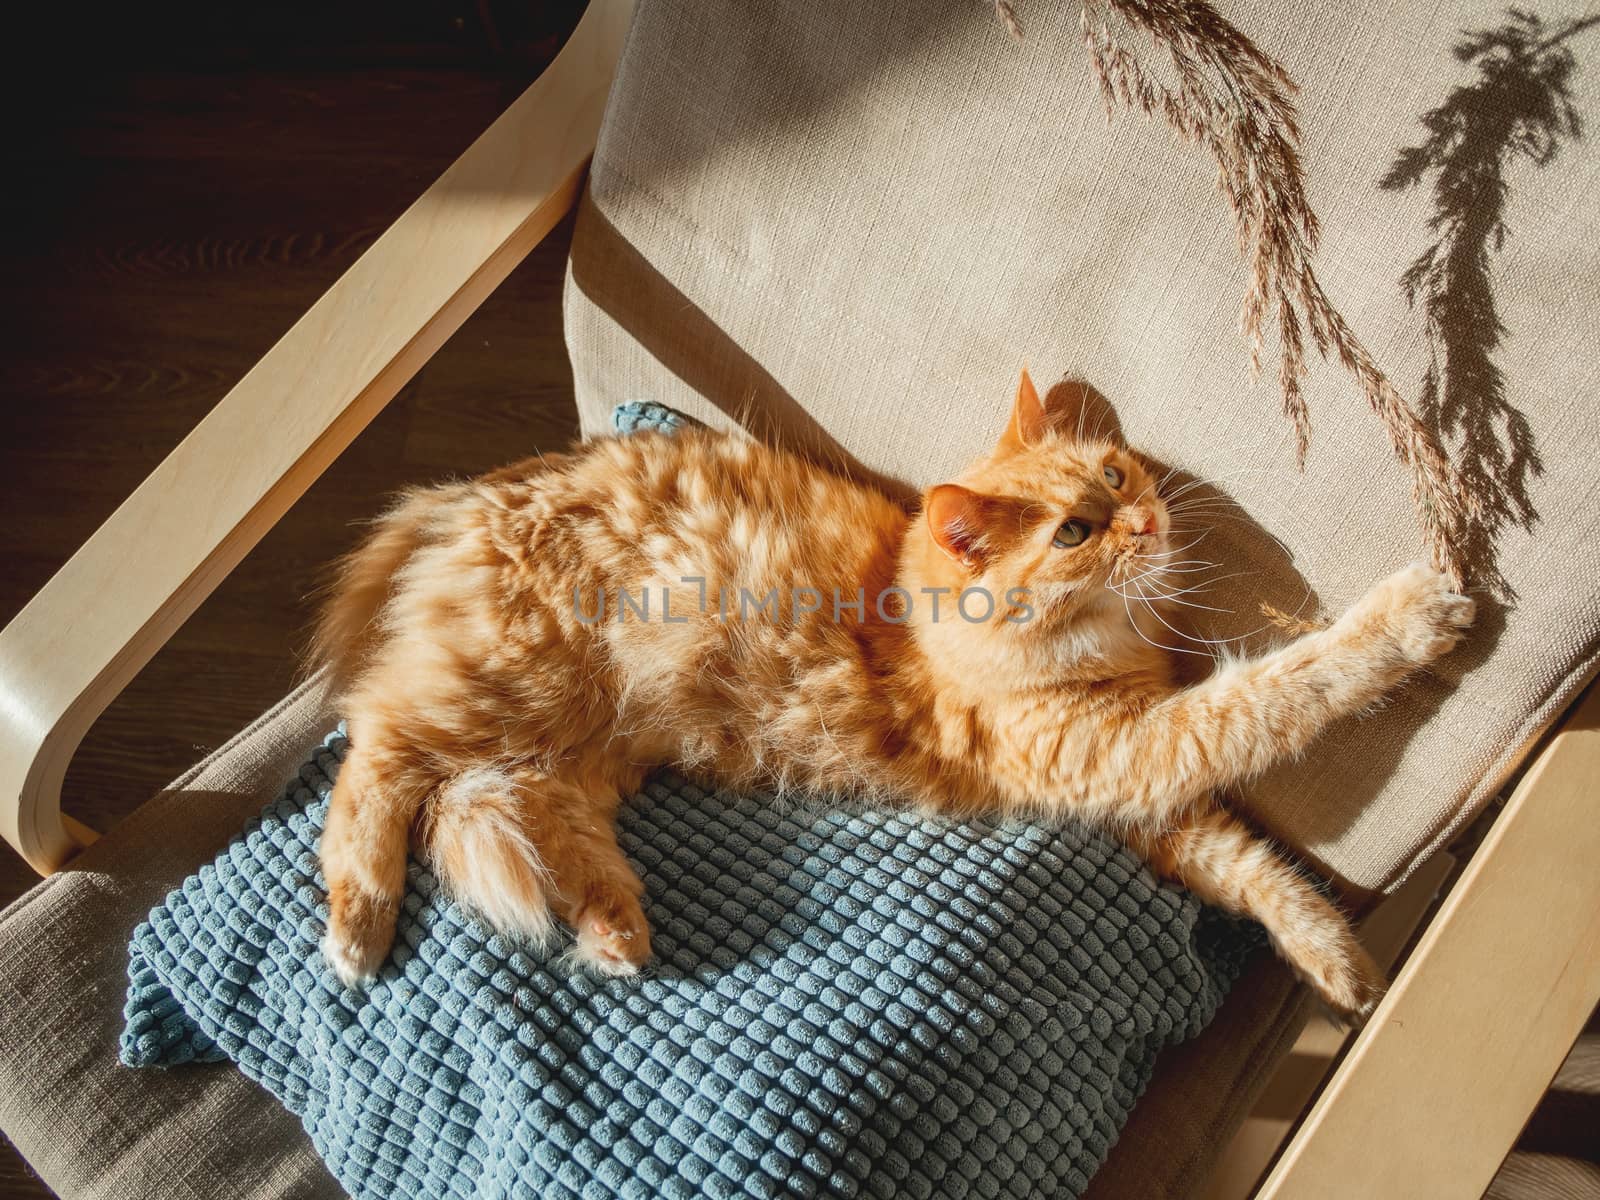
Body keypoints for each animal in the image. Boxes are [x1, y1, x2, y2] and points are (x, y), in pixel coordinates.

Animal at [312, 374, 1472, 1024]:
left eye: (1116, 476)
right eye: (1073, 534)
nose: (1147, 522)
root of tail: (464, 494)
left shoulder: (1141, 795)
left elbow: (1255, 873)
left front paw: (1333, 960)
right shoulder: (1133, 751)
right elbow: (1285, 684)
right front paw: (1415, 615)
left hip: (585, 740)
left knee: (512, 804)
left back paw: (612, 929)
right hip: (509, 685)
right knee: (374, 760)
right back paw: (359, 929)